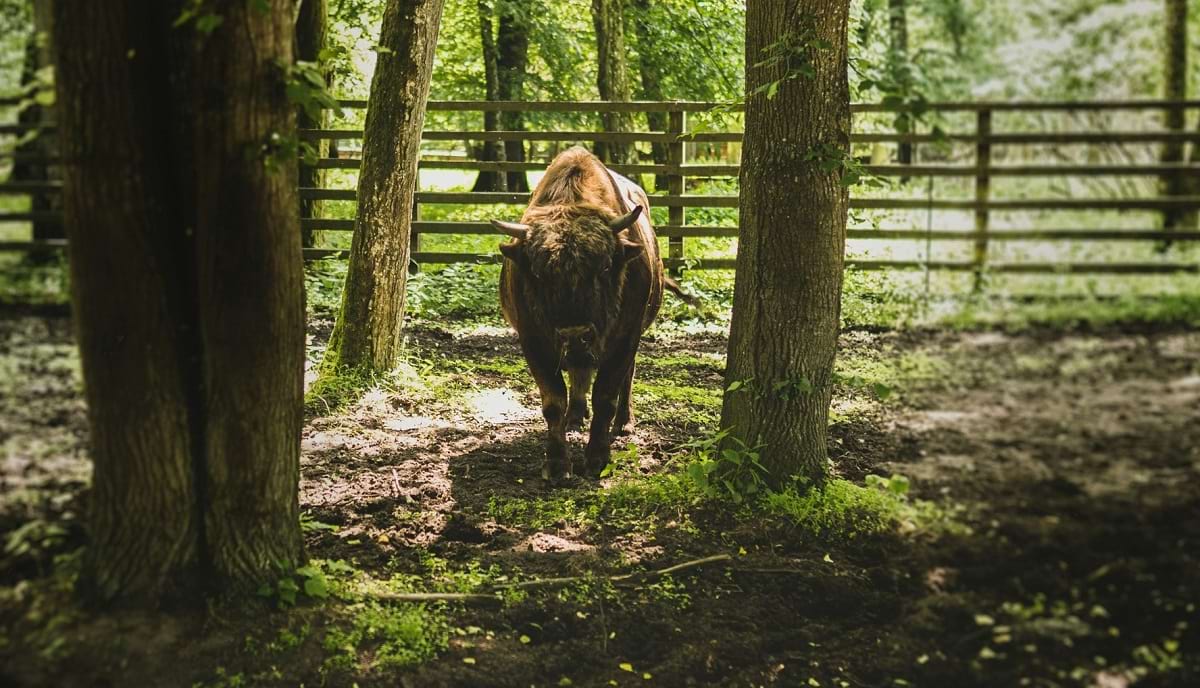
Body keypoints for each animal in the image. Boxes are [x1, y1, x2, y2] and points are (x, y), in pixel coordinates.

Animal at [494, 144, 686, 477]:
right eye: (539, 273)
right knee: (578, 375)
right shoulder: (534, 342)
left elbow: (606, 395)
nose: (576, 333)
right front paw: (557, 465)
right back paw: (574, 417)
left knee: (624, 378)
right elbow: (553, 400)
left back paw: (624, 423)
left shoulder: (624, 340)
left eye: (606, 266)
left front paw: (597, 459)